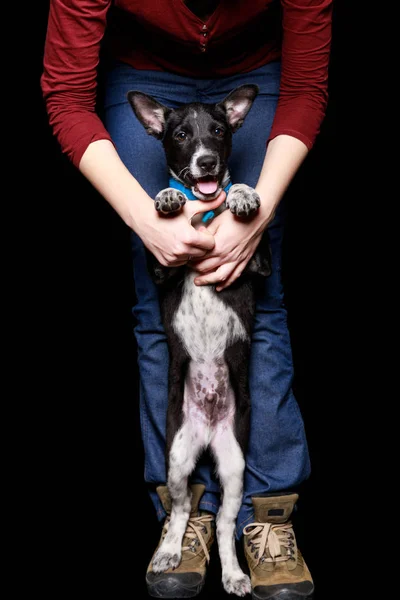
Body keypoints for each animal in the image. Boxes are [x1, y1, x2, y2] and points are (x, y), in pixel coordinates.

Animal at [127, 84, 272, 596]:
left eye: (219, 131)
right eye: (181, 135)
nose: (207, 162)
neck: (204, 214)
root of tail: (208, 435)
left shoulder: (258, 264)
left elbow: (242, 205)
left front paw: (243, 194)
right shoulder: (160, 266)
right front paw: (169, 195)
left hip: (234, 468)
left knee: (226, 525)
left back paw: (233, 573)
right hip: (175, 458)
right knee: (182, 507)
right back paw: (171, 551)